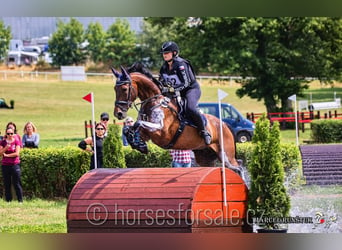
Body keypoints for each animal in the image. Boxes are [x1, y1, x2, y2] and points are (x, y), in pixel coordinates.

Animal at [111, 64, 244, 177]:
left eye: (124, 89)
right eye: (114, 89)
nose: (118, 113)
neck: (154, 101)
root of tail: (224, 124)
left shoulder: (161, 132)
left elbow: (138, 123)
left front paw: (138, 143)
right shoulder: (148, 133)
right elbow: (129, 129)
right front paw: (139, 145)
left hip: (226, 155)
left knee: (239, 168)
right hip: (204, 157)